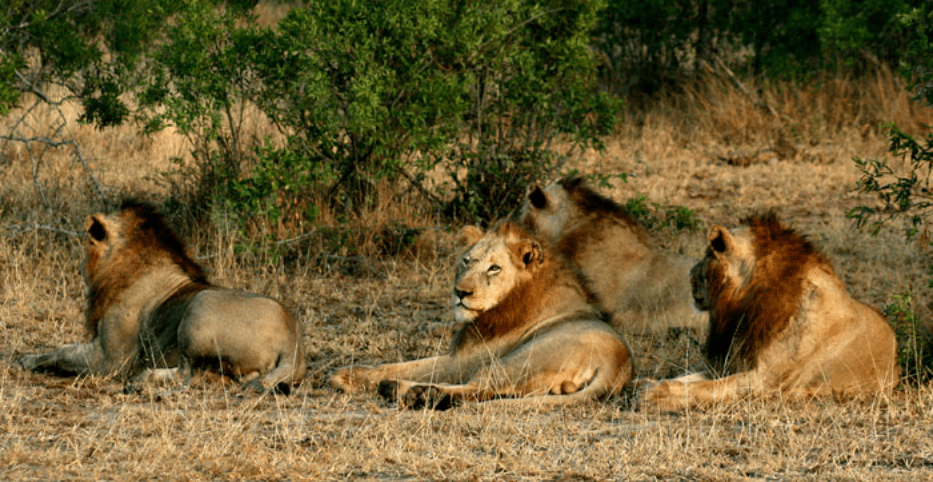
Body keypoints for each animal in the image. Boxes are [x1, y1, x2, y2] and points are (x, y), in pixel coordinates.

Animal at [17, 201, 306, 394]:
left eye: (87, 247)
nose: (78, 268)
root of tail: (293, 343)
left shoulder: (110, 360)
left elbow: (63, 352)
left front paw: (26, 359)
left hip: (201, 304)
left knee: (187, 374)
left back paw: (142, 380)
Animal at [328, 220, 632, 408]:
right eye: (466, 261)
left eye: (494, 268)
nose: (460, 292)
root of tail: (618, 363)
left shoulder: (464, 360)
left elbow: (408, 365)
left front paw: (345, 376)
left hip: (515, 360)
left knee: (478, 387)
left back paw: (410, 391)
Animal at [636, 214, 900, 410]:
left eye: (709, 255)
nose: (690, 274)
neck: (748, 307)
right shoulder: (733, 363)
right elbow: (691, 377)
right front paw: (647, 383)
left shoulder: (767, 381)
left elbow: (712, 387)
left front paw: (657, 395)